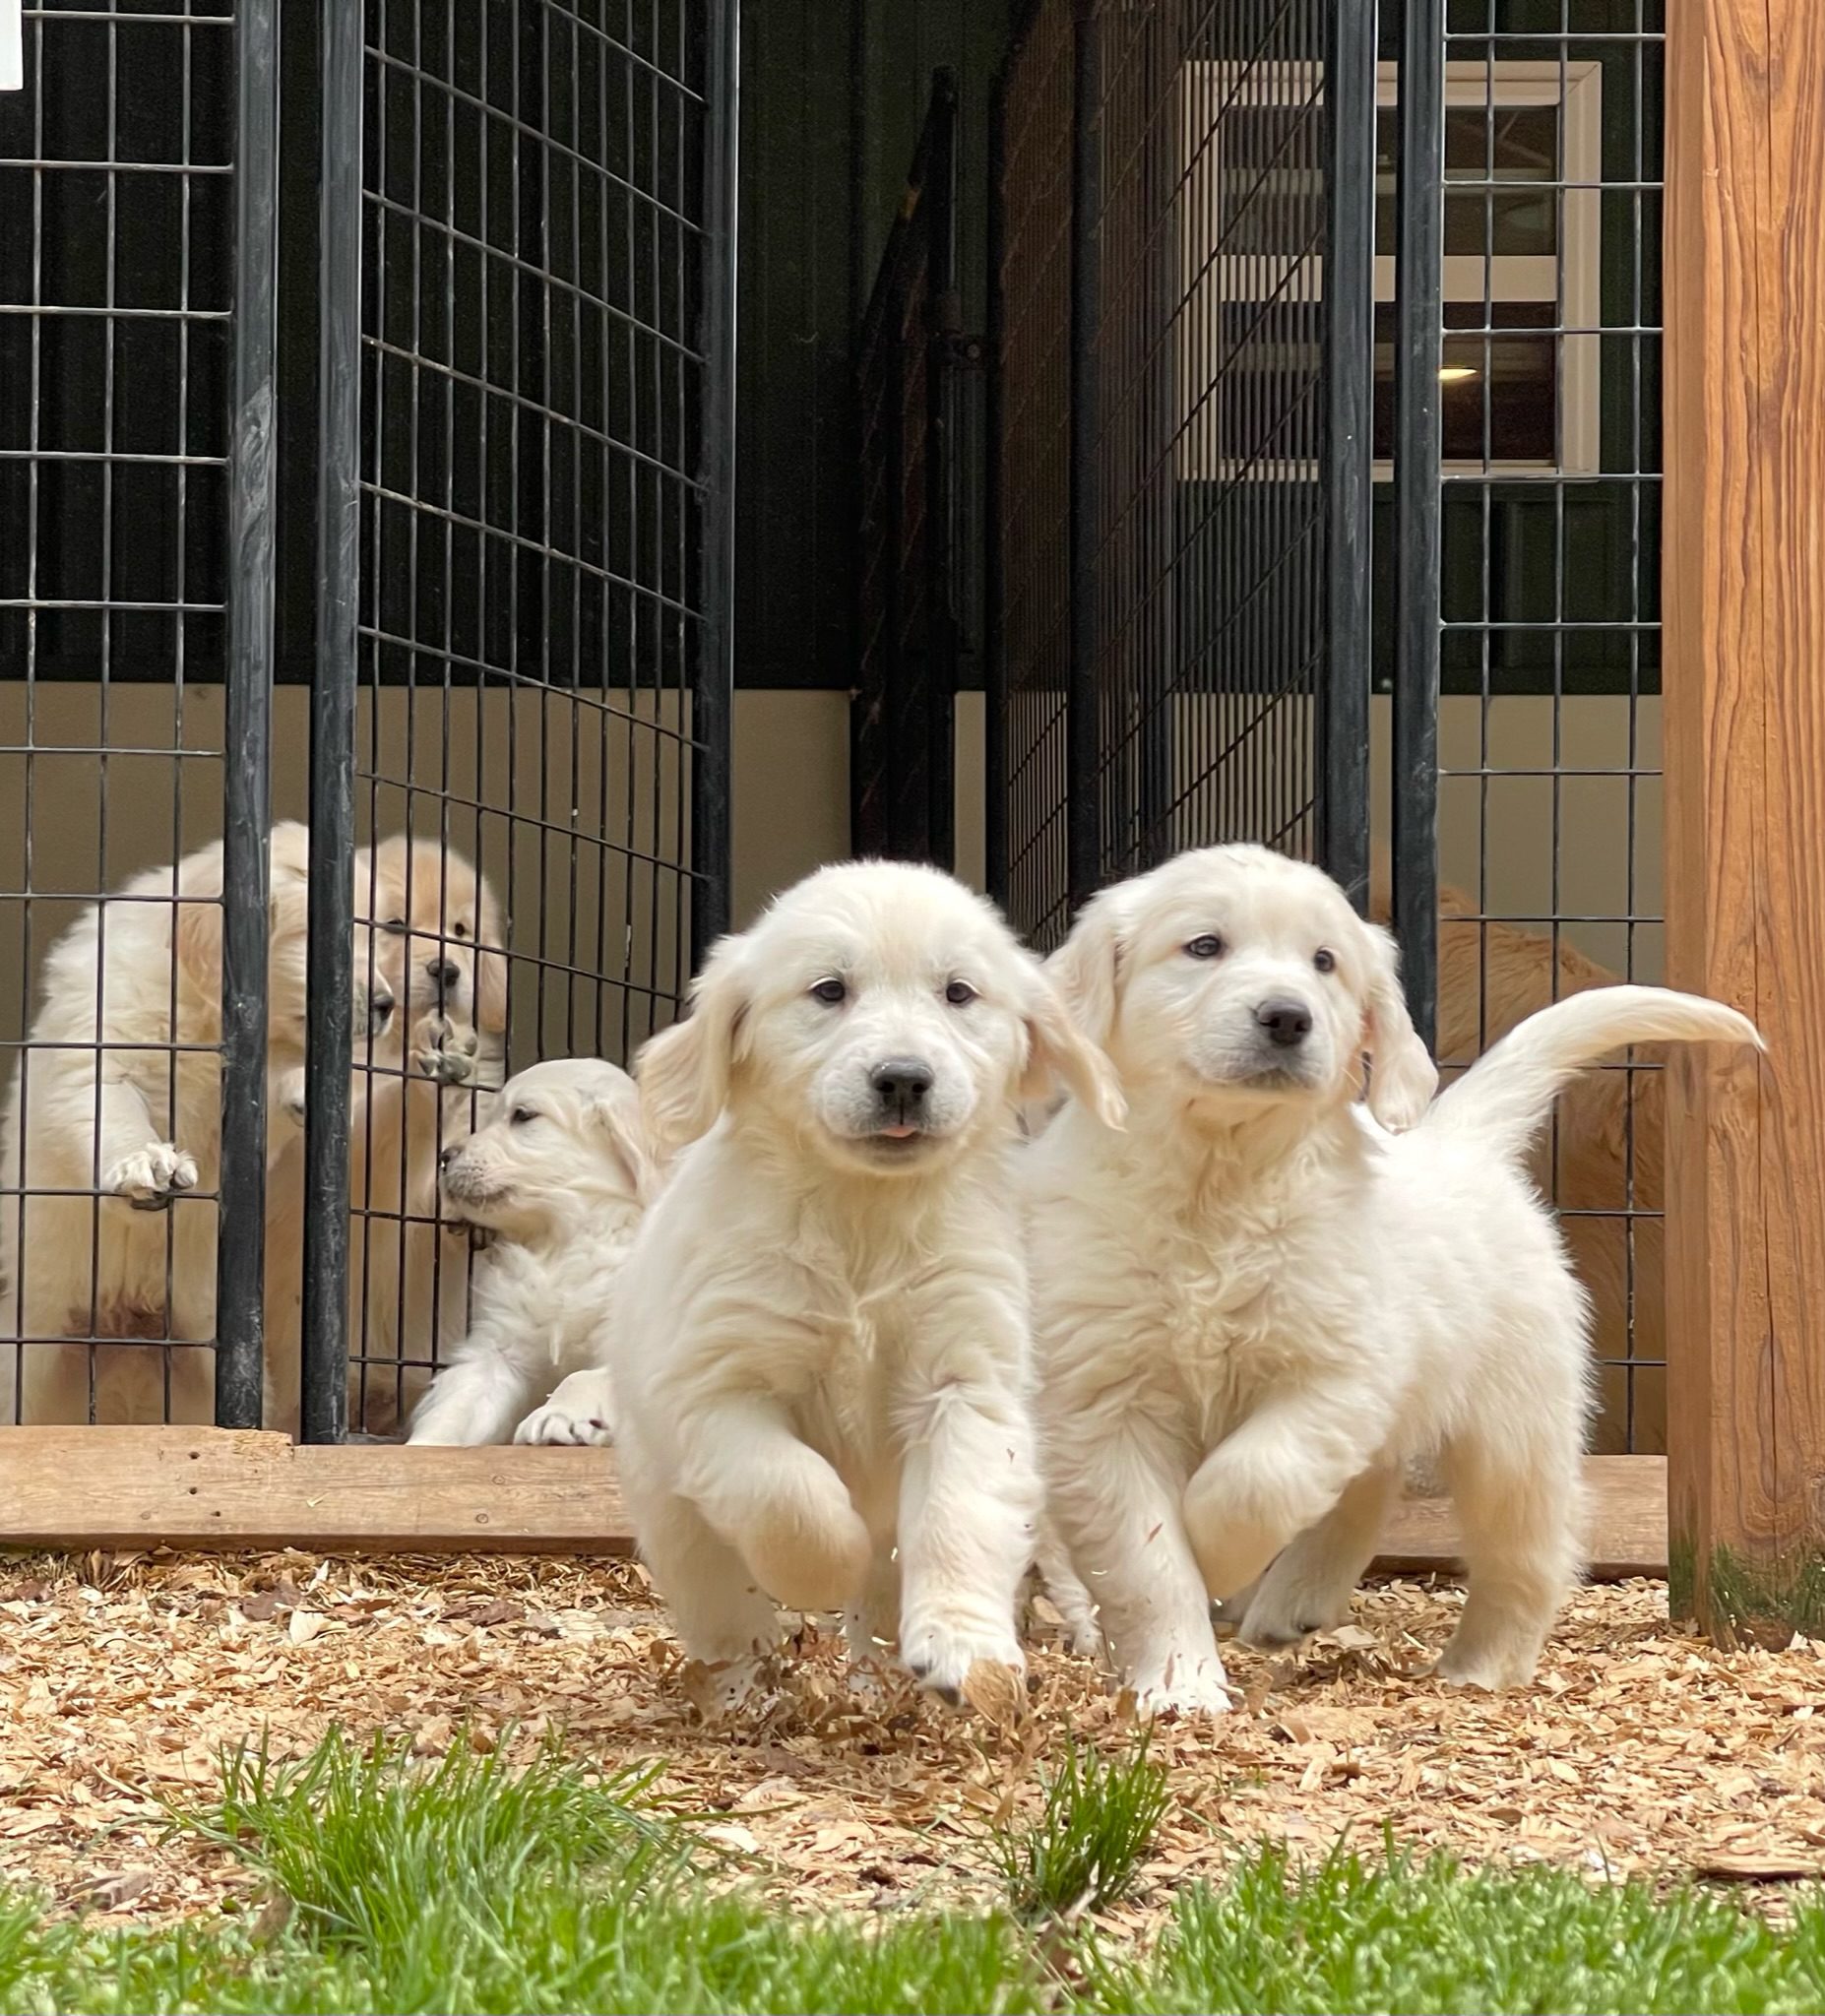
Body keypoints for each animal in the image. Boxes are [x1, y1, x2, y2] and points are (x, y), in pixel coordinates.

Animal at [405, 1056, 653, 1451]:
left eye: (522, 1115)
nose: (444, 1157)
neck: (563, 1240)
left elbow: (584, 1376)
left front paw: (559, 1415)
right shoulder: (498, 1350)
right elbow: (459, 1401)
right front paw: (422, 1447)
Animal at [597, 858, 1121, 1709]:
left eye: (959, 993)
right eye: (829, 990)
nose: (903, 1080)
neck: (862, 1216)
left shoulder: (965, 1380)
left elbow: (958, 1513)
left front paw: (964, 1645)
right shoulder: (716, 1390)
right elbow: (790, 1496)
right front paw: (822, 1568)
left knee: (880, 1596)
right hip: (671, 1511)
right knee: (723, 1608)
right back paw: (742, 1692)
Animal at [1024, 843, 1750, 1709]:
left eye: (1324, 962)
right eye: (1204, 946)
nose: (1288, 1017)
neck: (1220, 1177)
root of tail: (1461, 1139)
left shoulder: (1338, 1373)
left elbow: (1253, 1481)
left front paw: (1217, 1558)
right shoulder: (1106, 1399)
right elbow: (1148, 1561)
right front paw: (1181, 1687)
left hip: (1514, 1420)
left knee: (1528, 1545)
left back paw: (1482, 1662)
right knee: (1371, 1485)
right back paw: (1296, 1601)